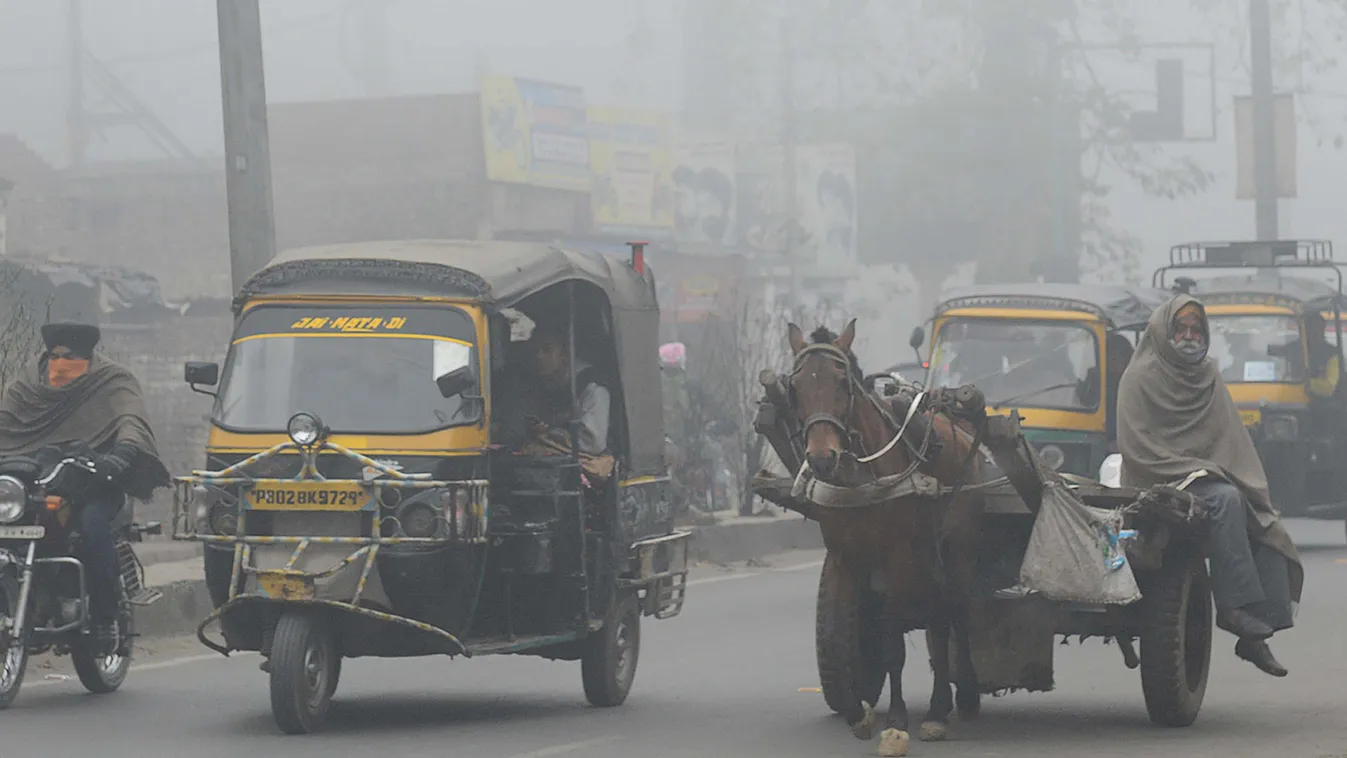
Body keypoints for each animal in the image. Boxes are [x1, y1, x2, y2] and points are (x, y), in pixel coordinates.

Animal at [781, 321, 991, 758]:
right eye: (795, 386)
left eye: (842, 382)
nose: (822, 458)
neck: (862, 476)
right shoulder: (846, 554)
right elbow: (857, 629)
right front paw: (855, 712)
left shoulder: (894, 557)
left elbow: (893, 640)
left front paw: (895, 722)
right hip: (927, 556)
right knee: (938, 618)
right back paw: (939, 706)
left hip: (957, 546)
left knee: (957, 612)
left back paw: (960, 698)